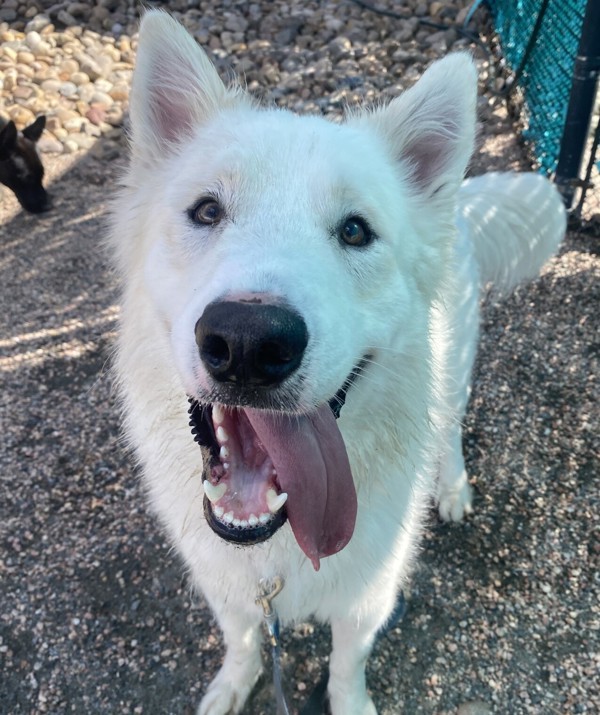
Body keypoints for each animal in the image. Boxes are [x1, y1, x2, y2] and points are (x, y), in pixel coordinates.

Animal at [110, 12, 564, 715]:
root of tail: (461, 203)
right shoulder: (230, 593)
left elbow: (347, 667)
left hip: (455, 373)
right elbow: (241, 643)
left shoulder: (369, 600)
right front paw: (231, 685)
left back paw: (452, 487)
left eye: (355, 231)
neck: (275, 547)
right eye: (207, 210)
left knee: (451, 430)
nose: (248, 343)